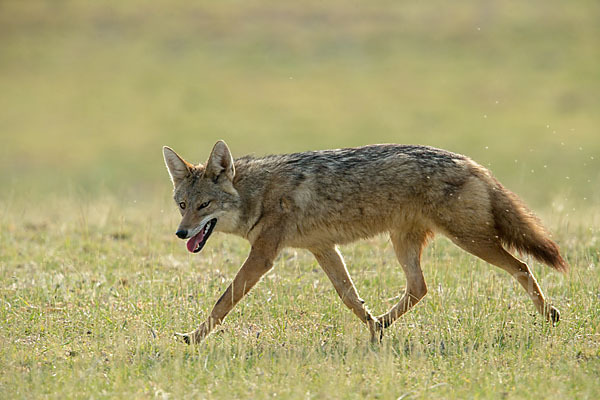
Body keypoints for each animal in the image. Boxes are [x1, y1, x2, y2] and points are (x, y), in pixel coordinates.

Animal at [162, 141, 564, 344]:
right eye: (182, 205)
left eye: (204, 206)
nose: (181, 233)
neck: (256, 192)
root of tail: (473, 163)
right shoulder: (323, 248)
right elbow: (350, 297)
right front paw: (371, 326)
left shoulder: (263, 256)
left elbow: (222, 301)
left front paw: (193, 338)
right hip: (405, 244)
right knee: (419, 288)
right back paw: (383, 325)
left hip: (472, 241)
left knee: (521, 266)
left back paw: (550, 315)